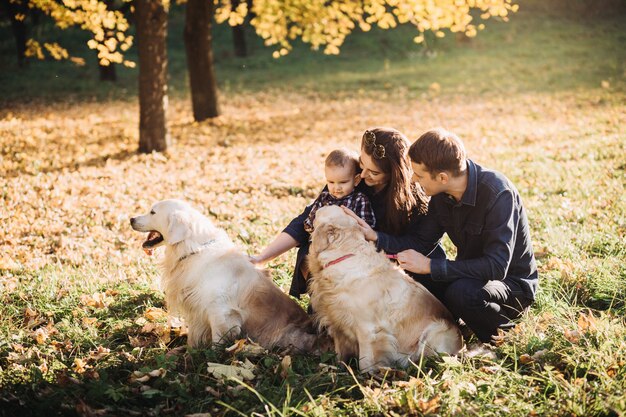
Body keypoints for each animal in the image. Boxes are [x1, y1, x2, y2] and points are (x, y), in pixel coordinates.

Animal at [130, 200, 316, 350]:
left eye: (152, 212)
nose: (131, 219)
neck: (192, 249)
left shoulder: (220, 311)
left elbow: (217, 341)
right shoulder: (195, 307)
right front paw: (188, 352)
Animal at [304, 205, 460, 370]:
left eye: (319, 210)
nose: (311, 208)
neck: (344, 255)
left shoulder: (367, 329)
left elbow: (365, 362)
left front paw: (366, 376)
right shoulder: (336, 321)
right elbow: (340, 354)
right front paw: (338, 369)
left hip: (433, 332)